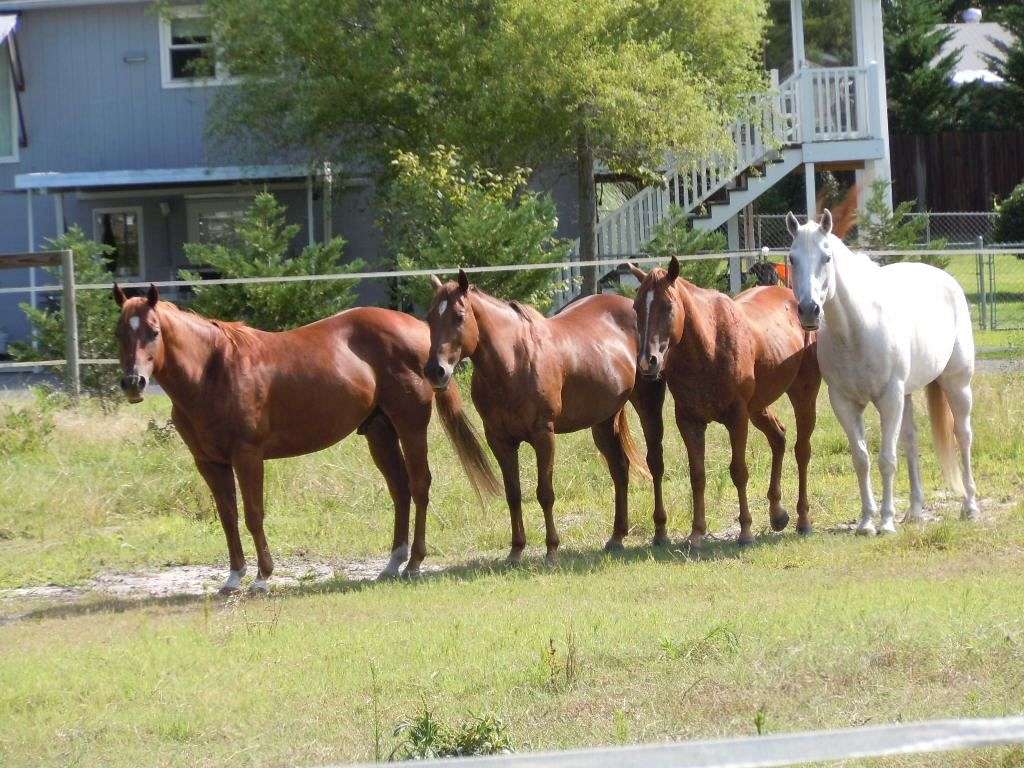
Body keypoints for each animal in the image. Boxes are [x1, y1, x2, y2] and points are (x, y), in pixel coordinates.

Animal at [114, 286, 497, 593]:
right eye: (120, 332)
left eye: (153, 331)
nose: (133, 383)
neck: (213, 370)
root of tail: (421, 332)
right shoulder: (209, 462)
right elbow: (228, 517)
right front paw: (234, 577)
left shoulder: (247, 456)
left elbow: (253, 514)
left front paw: (262, 578)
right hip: (380, 433)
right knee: (400, 490)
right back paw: (392, 563)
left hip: (410, 426)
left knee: (419, 485)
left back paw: (415, 563)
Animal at [421, 270, 667, 565]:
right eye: (430, 317)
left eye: (459, 316)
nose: (435, 371)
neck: (514, 363)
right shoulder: (499, 441)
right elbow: (513, 494)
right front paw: (516, 550)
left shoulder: (543, 436)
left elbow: (545, 493)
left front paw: (551, 550)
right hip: (603, 422)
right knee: (620, 469)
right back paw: (617, 536)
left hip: (648, 407)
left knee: (655, 464)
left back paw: (660, 532)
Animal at [626, 259, 819, 548]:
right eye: (637, 307)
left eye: (668, 306)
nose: (648, 362)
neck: (708, 346)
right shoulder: (690, 422)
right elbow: (697, 475)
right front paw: (696, 533)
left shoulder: (737, 418)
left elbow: (738, 471)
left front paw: (745, 531)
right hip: (758, 407)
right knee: (778, 437)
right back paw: (777, 514)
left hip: (803, 395)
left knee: (802, 451)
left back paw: (803, 520)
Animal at [786, 210, 978, 536]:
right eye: (791, 258)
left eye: (826, 257)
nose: (809, 310)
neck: (856, 331)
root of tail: (946, 281)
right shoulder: (844, 403)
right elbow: (861, 459)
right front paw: (866, 521)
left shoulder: (889, 398)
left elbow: (887, 459)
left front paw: (886, 522)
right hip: (908, 396)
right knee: (911, 442)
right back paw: (914, 512)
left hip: (957, 385)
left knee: (962, 436)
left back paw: (970, 506)